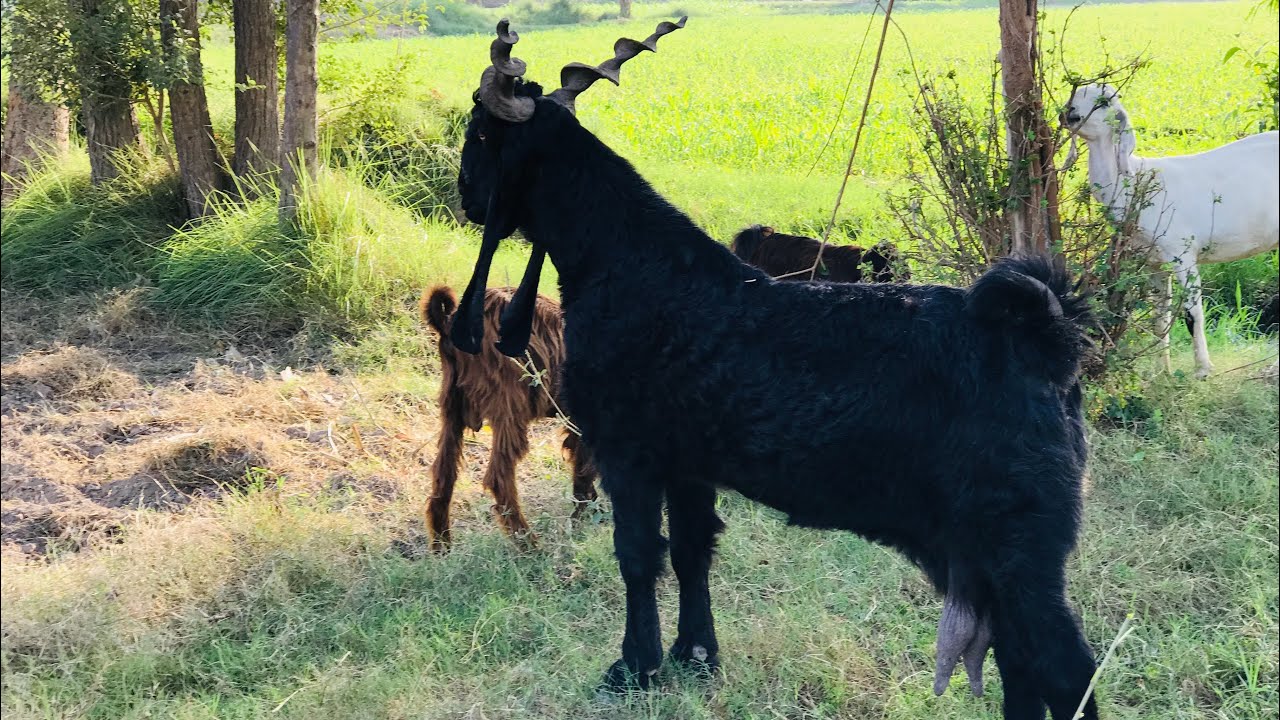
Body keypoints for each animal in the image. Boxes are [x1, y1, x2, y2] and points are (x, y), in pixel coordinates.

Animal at [420, 285, 596, 550]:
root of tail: (448, 322)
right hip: (509, 407)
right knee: (498, 478)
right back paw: (529, 546)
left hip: (452, 408)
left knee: (443, 476)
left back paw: (442, 548)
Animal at [1062, 84, 1279, 378]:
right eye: (1075, 94)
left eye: (1104, 101)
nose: (1069, 112)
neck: (1136, 180)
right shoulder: (1153, 261)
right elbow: (1159, 315)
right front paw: (1160, 370)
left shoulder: (1182, 253)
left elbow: (1192, 313)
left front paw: (1203, 371)